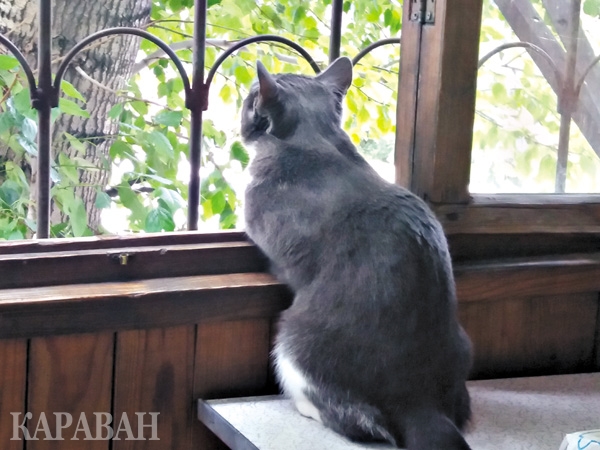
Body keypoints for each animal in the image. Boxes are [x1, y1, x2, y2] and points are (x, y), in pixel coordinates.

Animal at [241, 58, 472, 448]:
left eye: (249, 101)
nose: (242, 113)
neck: (316, 137)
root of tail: (419, 400)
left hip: (293, 342)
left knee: (360, 421)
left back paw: (307, 407)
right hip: (463, 346)